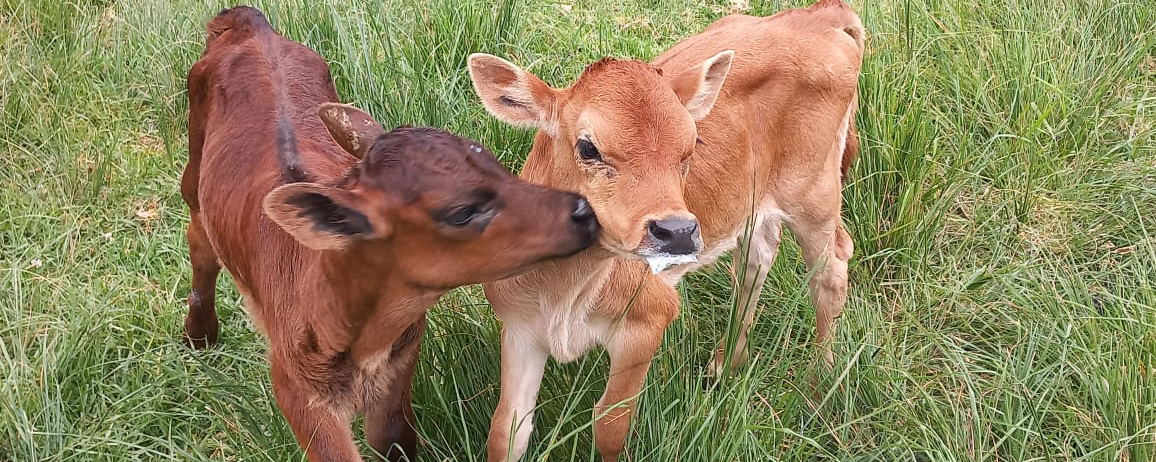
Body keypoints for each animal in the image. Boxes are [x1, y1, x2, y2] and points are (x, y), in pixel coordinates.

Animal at [182, 7, 599, 462]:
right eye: (462, 212)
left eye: (498, 164)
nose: (583, 211)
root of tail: (250, 22)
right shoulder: (298, 391)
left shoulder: (399, 368)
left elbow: (394, 439)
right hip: (193, 176)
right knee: (200, 246)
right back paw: (199, 335)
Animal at [466, 0, 865, 460]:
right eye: (588, 147)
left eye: (691, 147)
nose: (677, 231)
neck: (563, 295)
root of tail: (819, 15)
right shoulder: (520, 329)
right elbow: (506, 429)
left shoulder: (647, 319)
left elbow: (610, 425)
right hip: (754, 203)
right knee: (758, 257)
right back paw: (725, 364)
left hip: (814, 190)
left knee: (831, 268)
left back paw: (820, 384)